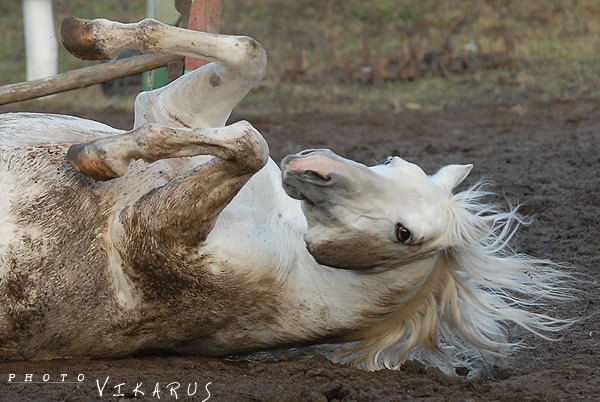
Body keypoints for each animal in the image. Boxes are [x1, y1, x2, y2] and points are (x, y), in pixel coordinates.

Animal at [0, 16, 576, 374]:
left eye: (404, 234)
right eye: (396, 162)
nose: (312, 169)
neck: (292, 251)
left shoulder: (146, 231)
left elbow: (251, 141)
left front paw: (98, 156)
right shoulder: (173, 112)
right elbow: (250, 56)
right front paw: (84, 36)